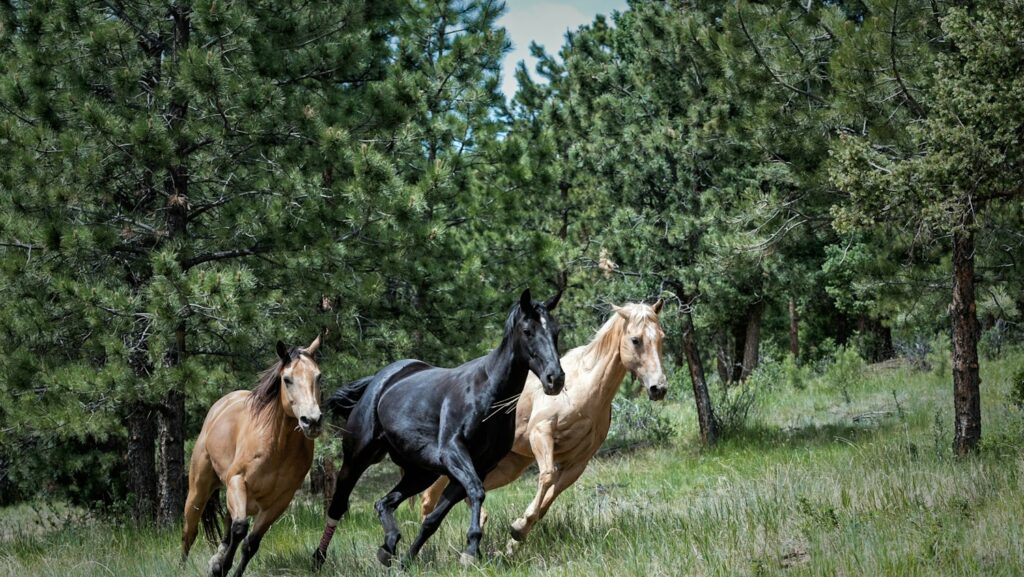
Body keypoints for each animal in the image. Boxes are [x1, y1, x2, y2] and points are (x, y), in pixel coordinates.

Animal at [181, 334, 324, 577]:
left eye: (318, 376)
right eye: (287, 379)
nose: (312, 421)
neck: (277, 446)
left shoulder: (280, 501)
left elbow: (251, 543)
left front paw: (222, 567)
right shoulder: (237, 481)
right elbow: (240, 529)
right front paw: (222, 566)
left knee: (227, 525)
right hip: (199, 491)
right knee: (189, 532)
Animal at [312, 288, 565, 568]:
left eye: (555, 331)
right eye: (528, 330)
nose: (555, 378)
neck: (487, 394)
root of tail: (379, 380)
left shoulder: (476, 466)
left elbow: (434, 519)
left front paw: (408, 560)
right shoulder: (453, 453)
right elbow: (476, 491)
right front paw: (471, 549)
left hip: (420, 473)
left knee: (384, 503)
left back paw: (389, 546)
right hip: (357, 458)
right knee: (338, 505)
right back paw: (318, 558)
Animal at [419, 301, 667, 550]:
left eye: (661, 337)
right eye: (635, 340)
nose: (659, 388)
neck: (584, 388)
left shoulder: (578, 462)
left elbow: (549, 499)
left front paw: (516, 535)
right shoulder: (541, 434)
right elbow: (546, 476)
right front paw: (519, 528)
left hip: (508, 466)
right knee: (430, 496)